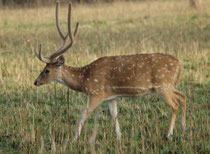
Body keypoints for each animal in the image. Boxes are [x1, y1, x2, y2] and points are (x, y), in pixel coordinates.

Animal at [33, 0, 186, 142]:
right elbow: (114, 115)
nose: (35, 82)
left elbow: (82, 116)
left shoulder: (96, 93)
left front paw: (73, 140)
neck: (83, 80)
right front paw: (119, 137)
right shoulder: (111, 97)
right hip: (168, 85)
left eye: (47, 70)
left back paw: (169, 134)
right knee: (182, 96)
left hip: (162, 84)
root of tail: (179, 64)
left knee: (174, 104)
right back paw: (183, 128)